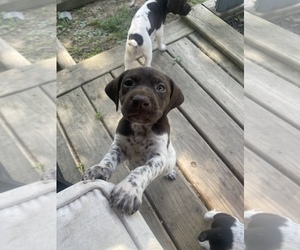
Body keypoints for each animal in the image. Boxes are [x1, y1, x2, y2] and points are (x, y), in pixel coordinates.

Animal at [83, 66, 184, 215]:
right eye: (128, 83)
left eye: (161, 87)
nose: (140, 100)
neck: (140, 127)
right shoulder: (118, 146)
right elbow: (109, 158)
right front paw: (100, 169)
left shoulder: (158, 157)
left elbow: (143, 169)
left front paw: (128, 190)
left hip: (170, 159)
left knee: (167, 166)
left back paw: (170, 172)